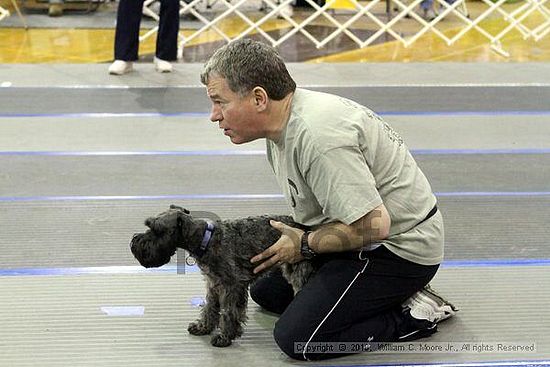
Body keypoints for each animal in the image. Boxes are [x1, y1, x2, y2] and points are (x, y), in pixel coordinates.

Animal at [130, 206, 316, 350]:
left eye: (157, 230)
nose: (134, 244)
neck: (206, 240)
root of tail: (302, 227)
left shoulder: (231, 286)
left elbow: (228, 312)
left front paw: (224, 337)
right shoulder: (213, 283)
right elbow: (210, 307)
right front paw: (203, 327)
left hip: (299, 272)